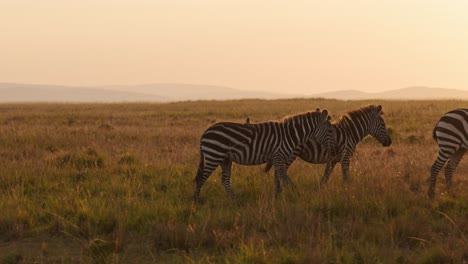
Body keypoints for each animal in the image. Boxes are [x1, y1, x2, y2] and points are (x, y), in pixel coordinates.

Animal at [193, 108, 332, 201]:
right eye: (330, 130)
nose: (334, 148)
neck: (290, 135)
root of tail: (205, 132)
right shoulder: (279, 157)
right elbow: (284, 177)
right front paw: (295, 192)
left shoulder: (276, 158)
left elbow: (277, 179)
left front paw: (277, 196)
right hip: (214, 155)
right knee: (201, 179)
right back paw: (196, 201)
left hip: (225, 159)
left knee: (225, 180)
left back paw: (236, 201)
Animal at [264, 104, 392, 186]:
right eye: (383, 124)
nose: (389, 142)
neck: (350, 133)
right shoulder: (345, 158)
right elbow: (346, 177)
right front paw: (348, 192)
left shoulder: (333, 160)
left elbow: (325, 177)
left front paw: (320, 191)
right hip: (290, 154)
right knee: (281, 170)